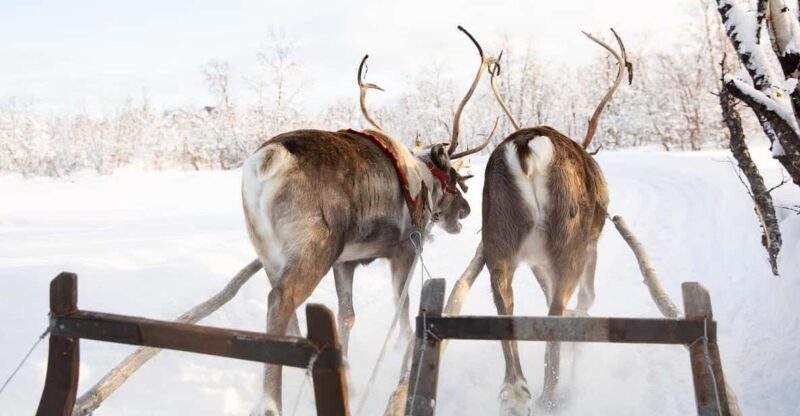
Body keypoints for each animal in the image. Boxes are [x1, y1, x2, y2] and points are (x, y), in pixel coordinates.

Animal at [241, 26, 496, 416]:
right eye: (454, 180)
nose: (467, 210)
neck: (422, 180)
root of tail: (267, 160)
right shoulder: (404, 250)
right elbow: (402, 312)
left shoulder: (346, 262)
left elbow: (346, 315)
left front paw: (347, 373)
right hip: (315, 248)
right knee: (280, 302)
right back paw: (272, 402)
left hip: (270, 254)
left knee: (291, 315)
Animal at [443, 29, 631, 415]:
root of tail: (527, 147)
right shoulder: (591, 245)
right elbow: (587, 298)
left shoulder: (534, 261)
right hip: (570, 241)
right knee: (556, 310)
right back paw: (551, 395)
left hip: (498, 238)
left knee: (505, 305)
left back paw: (515, 391)